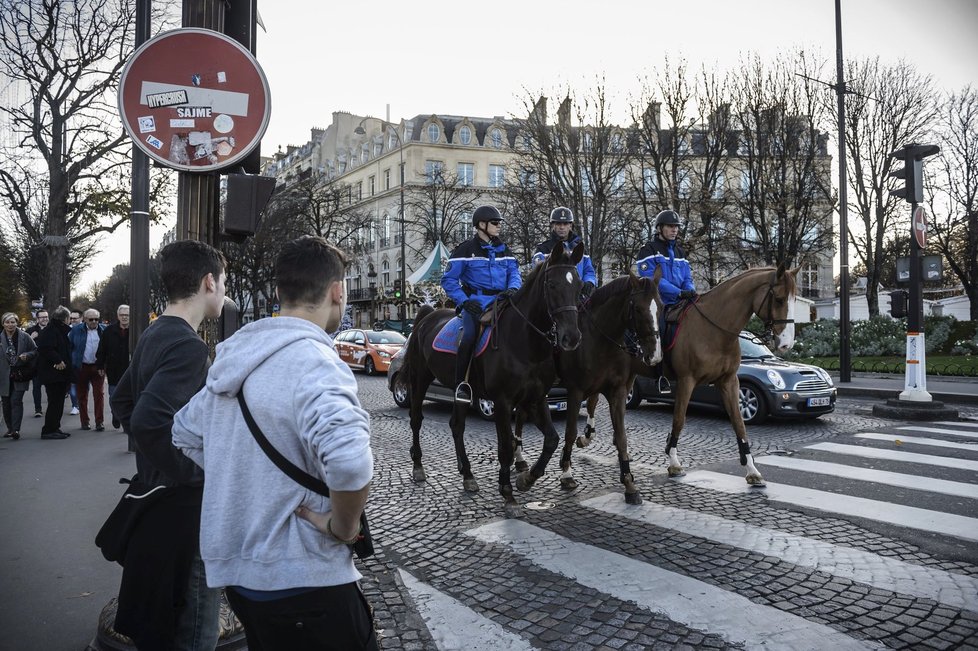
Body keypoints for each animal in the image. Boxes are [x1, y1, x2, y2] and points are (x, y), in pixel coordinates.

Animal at [394, 242, 584, 516]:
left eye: (579, 286)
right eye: (552, 285)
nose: (571, 337)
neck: (524, 342)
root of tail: (427, 315)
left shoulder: (536, 399)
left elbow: (551, 440)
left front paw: (527, 479)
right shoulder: (503, 402)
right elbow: (505, 447)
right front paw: (508, 493)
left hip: (461, 392)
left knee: (456, 425)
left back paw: (467, 475)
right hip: (419, 381)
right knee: (416, 419)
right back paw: (418, 466)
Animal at [510, 272, 664, 506]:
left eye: (661, 306)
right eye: (637, 309)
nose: (654, 354)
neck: (600, 338)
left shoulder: (617, 391)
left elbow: (621, 436)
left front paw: (629, 484)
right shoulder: (575, 391)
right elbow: (570, 432)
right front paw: (566, 473)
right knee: (519, 417)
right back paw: (519, 458)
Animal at [636, 264, 796, 484]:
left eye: (794, 299)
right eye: (779, 299)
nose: (787, 344)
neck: (715, 330)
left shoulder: (729, 382)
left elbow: (739, 423)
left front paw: (751, 469)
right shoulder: (686, 381)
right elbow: (679, 419)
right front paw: (674, 462)